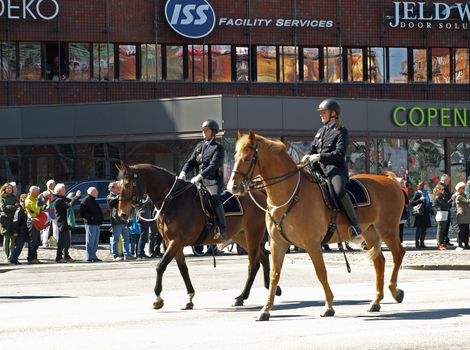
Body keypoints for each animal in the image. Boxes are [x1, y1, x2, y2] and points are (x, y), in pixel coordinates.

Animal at [116, 163, 280, 310]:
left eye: (128, 185)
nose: (122, 214)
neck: (172, 201)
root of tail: (259, 192)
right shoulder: (172, 242)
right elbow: (183, 269)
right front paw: (190, 298)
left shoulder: (176, 241)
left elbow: (160, 266)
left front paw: (158, 299)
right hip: (241, 237)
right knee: (263, 256)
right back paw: (269, 288)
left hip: (253, 235)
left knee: (254, 264)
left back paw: (242, 296)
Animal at [227, 131, 404, 320]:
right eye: (235, 156)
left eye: (247, 158)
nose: (232, 187)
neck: (290, 195)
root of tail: (390, 180)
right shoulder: (277, 243)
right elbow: (275, 274)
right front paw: (265, 310)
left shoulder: (312, 244)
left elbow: (321, 272)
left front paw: (329, 306)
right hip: (370, 232)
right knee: (380, 261)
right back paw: (376, 301)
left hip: (387, 230)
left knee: (398, 254)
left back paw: (395, 291)